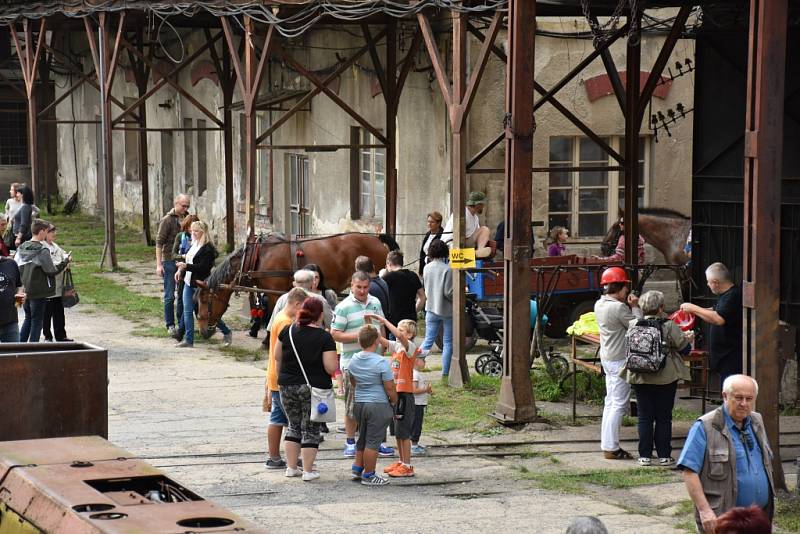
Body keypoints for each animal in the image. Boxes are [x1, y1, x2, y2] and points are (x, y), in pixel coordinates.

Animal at [191, 233, 396, 338]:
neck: (257, 257)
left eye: (204, 300)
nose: (203, 331)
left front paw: (267, 340)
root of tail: (377, 238)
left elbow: (273, 315)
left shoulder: (274, 294)